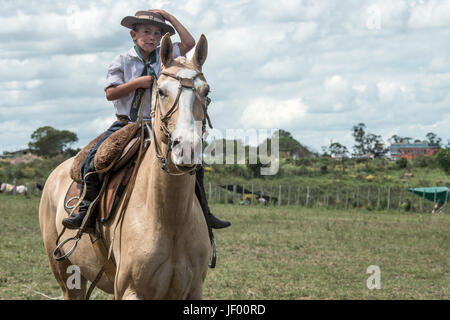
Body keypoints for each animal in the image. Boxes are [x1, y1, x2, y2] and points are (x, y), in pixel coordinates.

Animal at [39, 35, 212, 300]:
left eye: (206, 91)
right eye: (161, 91)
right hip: (66, 275)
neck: (168, 218)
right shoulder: (131, 290)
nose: (187, 148)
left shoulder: (192, 290)